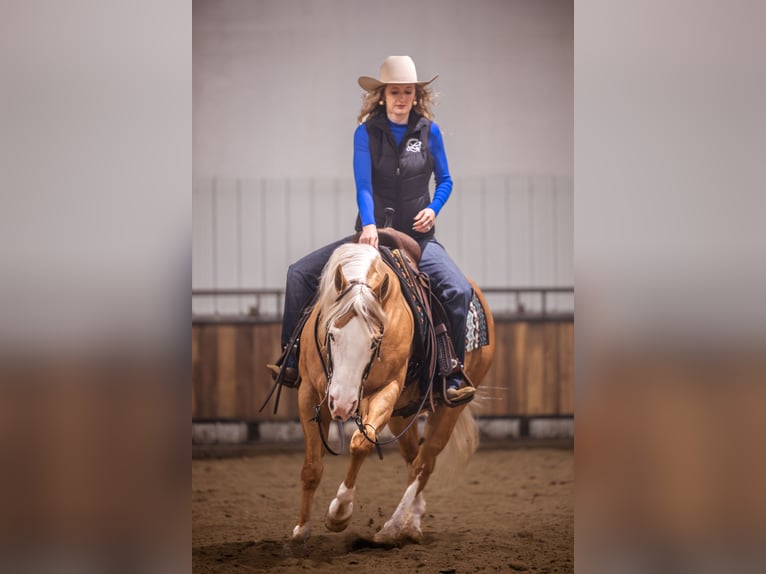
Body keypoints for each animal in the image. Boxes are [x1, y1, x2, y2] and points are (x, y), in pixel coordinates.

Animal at [291, 242, 494, 545]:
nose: (342, 404)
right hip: (402, 414)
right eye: (332, 334)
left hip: (449, 410)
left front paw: (339, 513)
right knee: (414, 459)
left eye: (375, 341)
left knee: (423, 464)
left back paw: (393, 528)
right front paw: (302, 529)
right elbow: (312, 466)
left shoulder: (387, 390)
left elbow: (360, 444)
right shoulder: (309, 394)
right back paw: (412, 522)